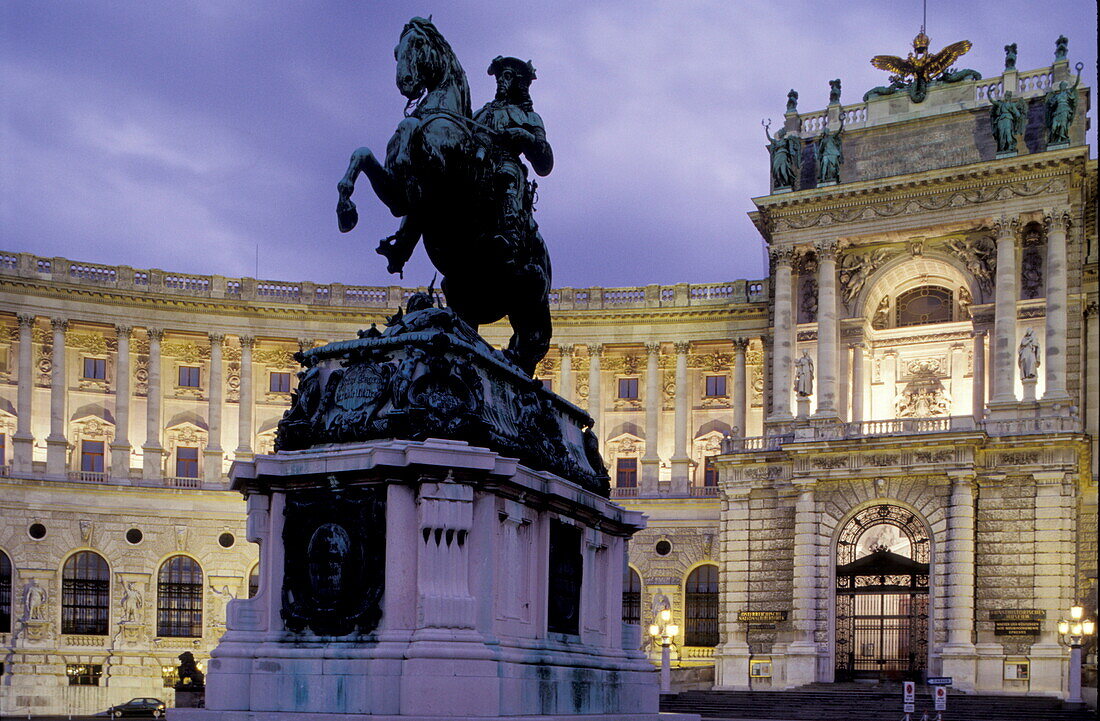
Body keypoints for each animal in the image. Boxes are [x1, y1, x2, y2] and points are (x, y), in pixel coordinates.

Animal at [336, 16, 550, 378]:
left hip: (530, 294)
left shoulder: (441, 175)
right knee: (474, 327)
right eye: (396, 50)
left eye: (420, 45)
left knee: (527, 349)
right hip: (464, 288)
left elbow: (543, 155)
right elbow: (363, 154)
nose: (406, 84)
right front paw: (346, 209)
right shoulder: (399, 195)